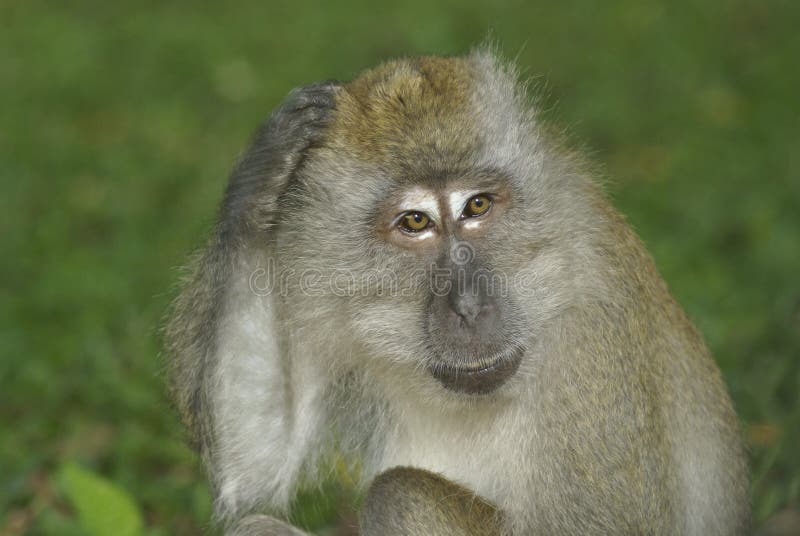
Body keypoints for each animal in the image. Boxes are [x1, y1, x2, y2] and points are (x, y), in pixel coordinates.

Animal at [165, 48, 750, 535]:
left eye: (477, 206)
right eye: (415, 221)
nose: (469, 307)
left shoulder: (590, 336)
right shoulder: (309, 288)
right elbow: (254, 473)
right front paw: (263, 174)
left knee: (400, 494)